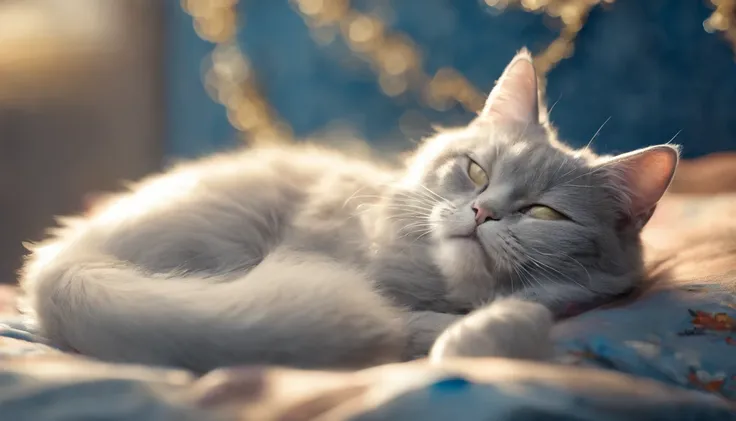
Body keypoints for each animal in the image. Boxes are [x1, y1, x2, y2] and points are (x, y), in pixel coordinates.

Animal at [17, 49, 680, 370]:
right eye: (475, 172)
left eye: (545, 215)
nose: (483, 212)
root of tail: (60, 259)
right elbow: (435, 327)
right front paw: (472, 336)